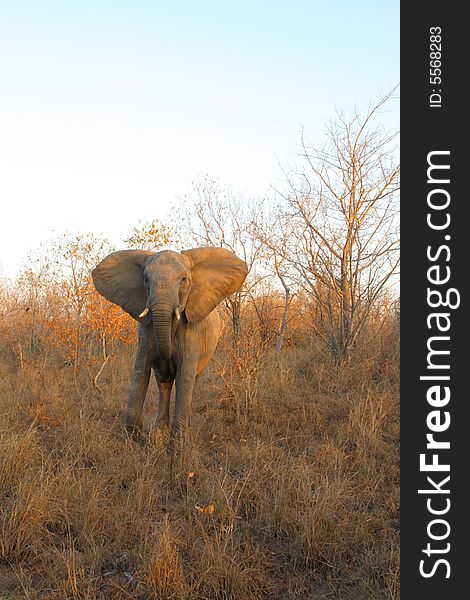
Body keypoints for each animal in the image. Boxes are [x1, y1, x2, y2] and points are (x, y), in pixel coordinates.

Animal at [91, 245, 246, 440]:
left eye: (184, 280)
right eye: (146, 279)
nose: (166, 355)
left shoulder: (192, 331)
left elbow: (184, 377)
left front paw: (178, 443)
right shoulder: (146, 330)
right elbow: (141, 371)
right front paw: (135, 439)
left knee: (191, 381)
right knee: (163, 383)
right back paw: (160, 428)